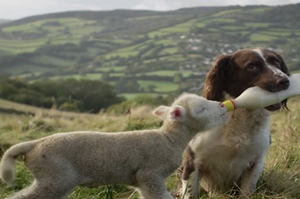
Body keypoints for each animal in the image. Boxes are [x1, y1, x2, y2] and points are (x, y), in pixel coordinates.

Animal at [0, 93, 227, 199]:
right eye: (201, 109)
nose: (223, 106)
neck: (168, 139)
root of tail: (34, 144)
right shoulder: (150, 174)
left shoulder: (142, 181)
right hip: (56, 177)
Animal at [178, 47, 290, 198]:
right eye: (252, 66)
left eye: (276, 62)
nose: (284, 80)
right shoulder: (193, 162)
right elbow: (190, 192)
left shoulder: (256, 162)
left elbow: (247, 191)